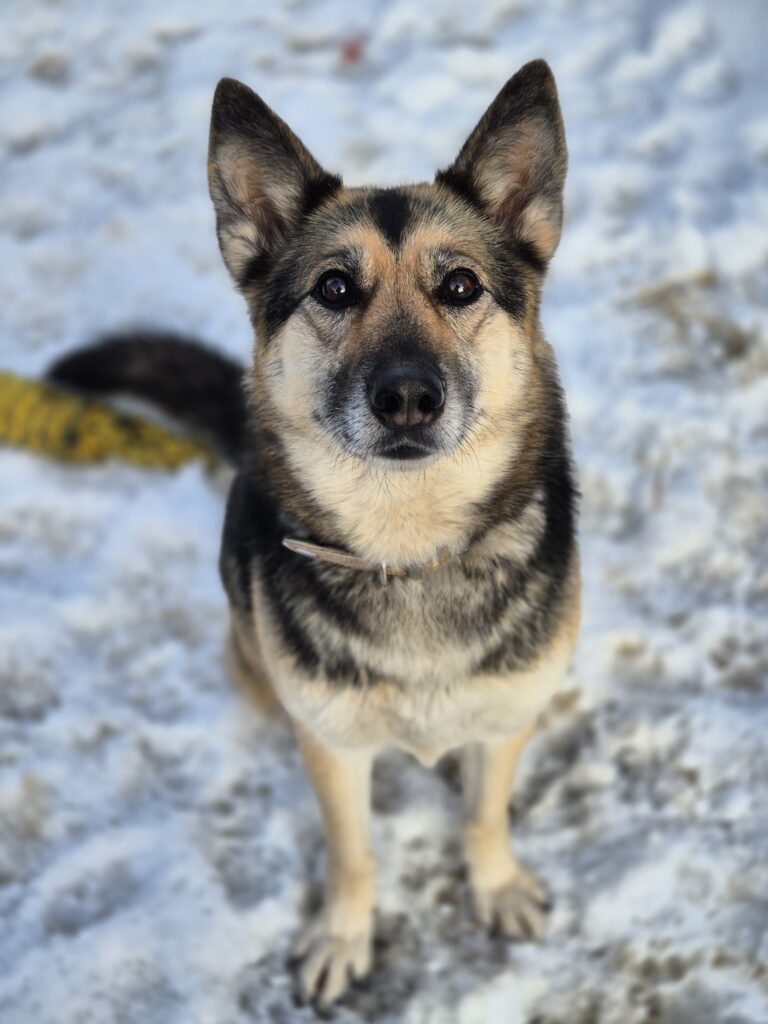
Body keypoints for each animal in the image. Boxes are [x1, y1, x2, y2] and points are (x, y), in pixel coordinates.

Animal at [50, 58, 580, 1007]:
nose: (406, 396)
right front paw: (342, 934)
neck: (408, 548)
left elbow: (484, 814)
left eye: (459, 286)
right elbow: (352, 852)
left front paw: (496, 884)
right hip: (251, 657)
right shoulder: (332, 749)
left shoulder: (504, 722)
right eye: (335, 287)